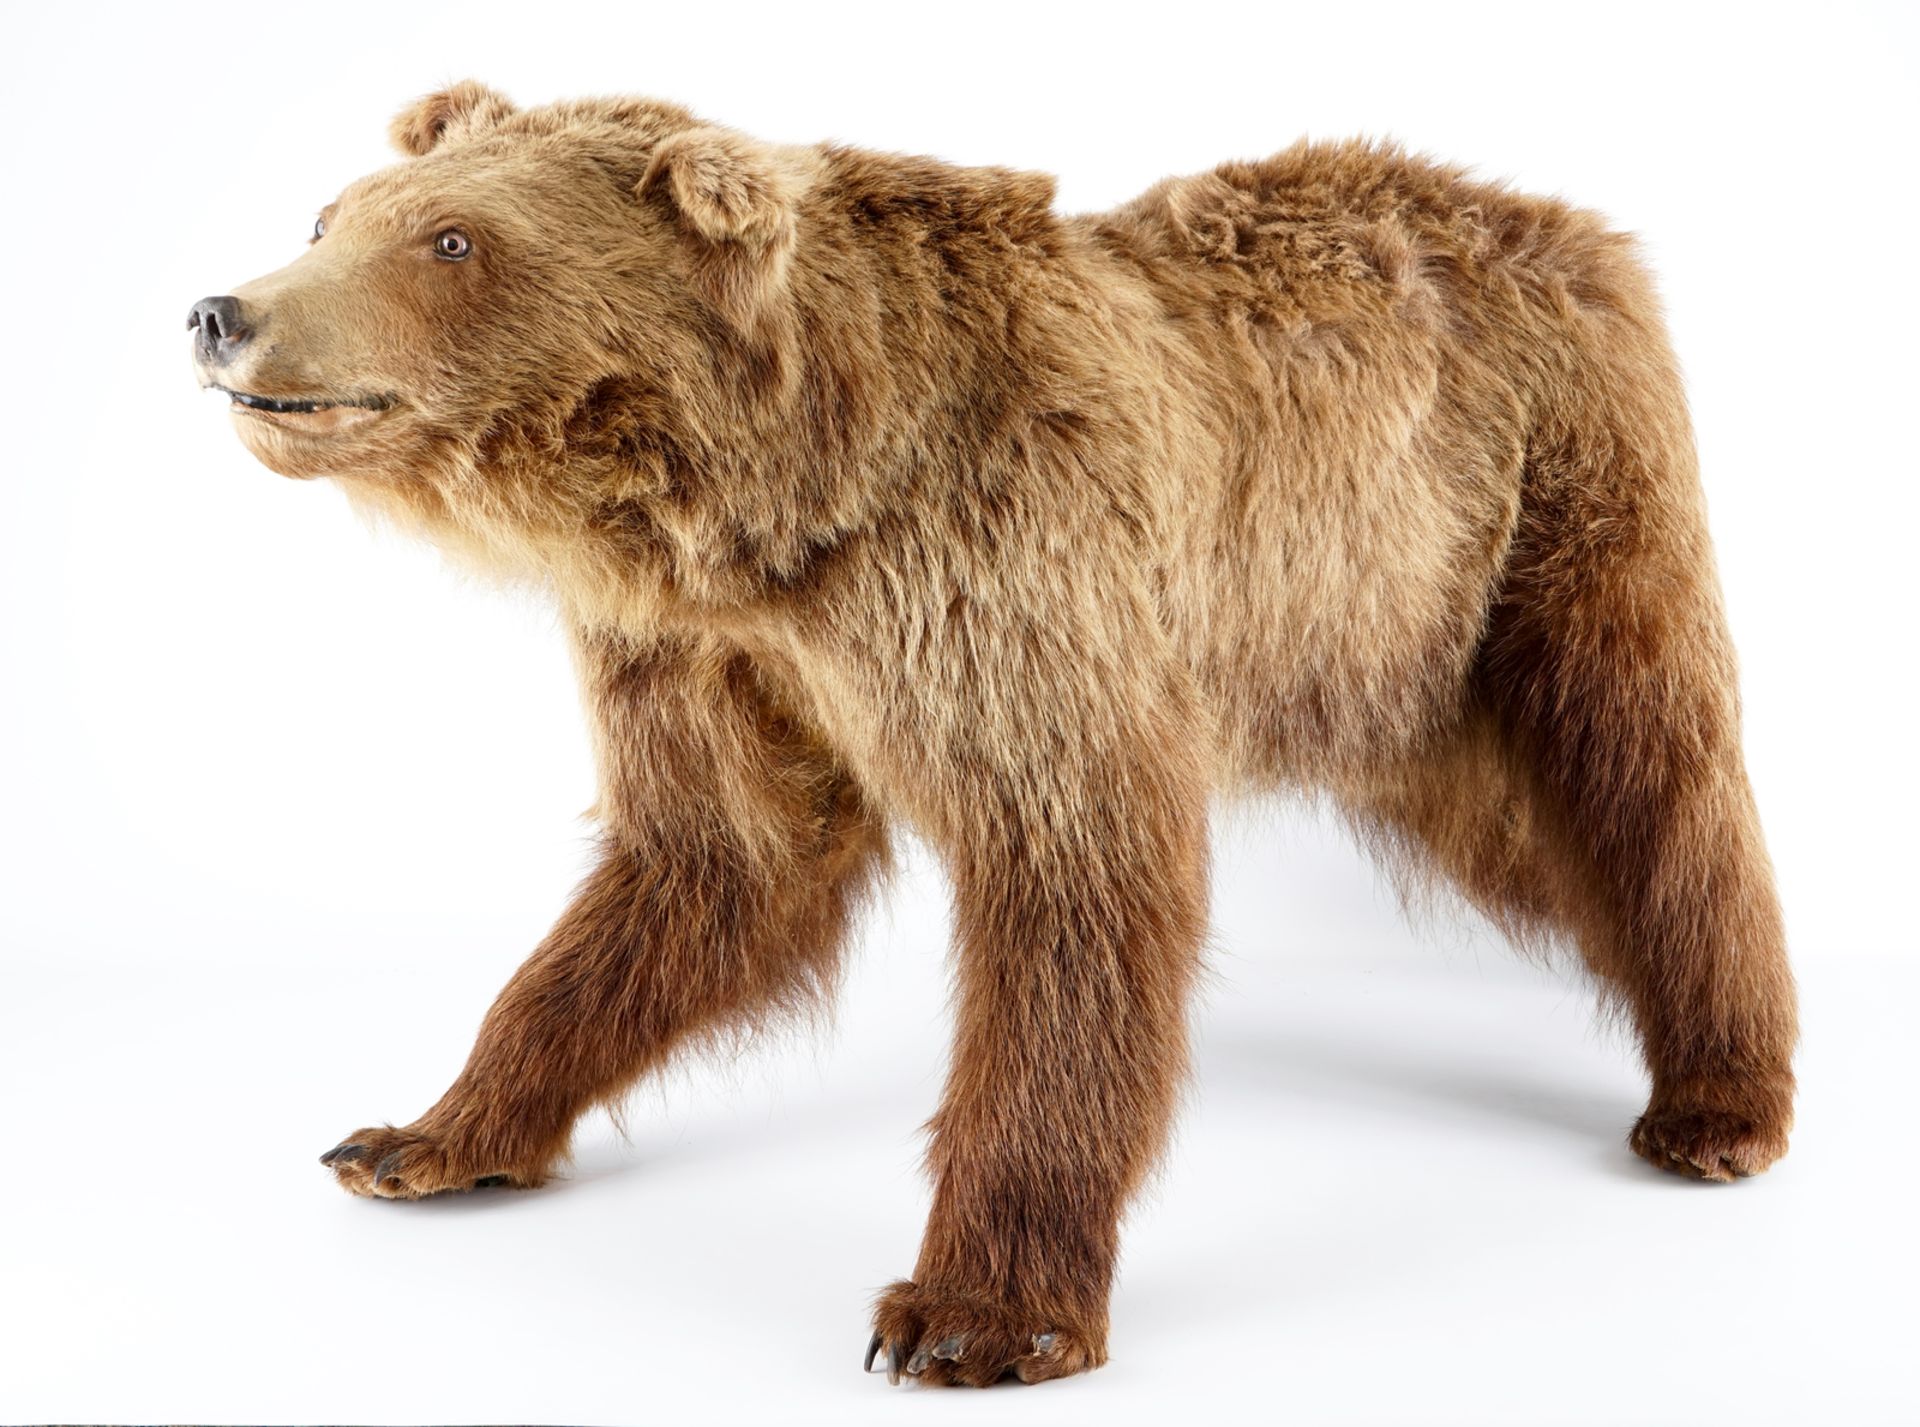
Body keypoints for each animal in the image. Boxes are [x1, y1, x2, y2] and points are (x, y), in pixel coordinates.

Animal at [187, 83, 1789, 1390]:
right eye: (331, 212)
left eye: (451, 241)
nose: (223, 310)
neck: (774, 501)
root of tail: (1580, 225)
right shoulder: (700, 645)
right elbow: (715, 853)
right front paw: (418, 1134)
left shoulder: (1013, 571)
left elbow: (1069, 889)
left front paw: (969, 1312)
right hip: (1383, 638)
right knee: (1524, 833)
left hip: (1554, 502)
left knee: (1645, 769)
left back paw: (1720, 1096)